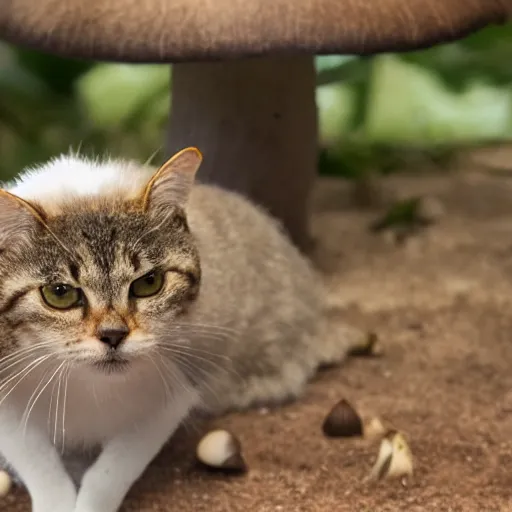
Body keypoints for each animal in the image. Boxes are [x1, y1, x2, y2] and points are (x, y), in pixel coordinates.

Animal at [0, 148, 358, 512]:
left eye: (149, 283)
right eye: (60, 293)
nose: (114, 335)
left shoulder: (183, 378)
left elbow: (112, 470)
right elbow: (40, 466)